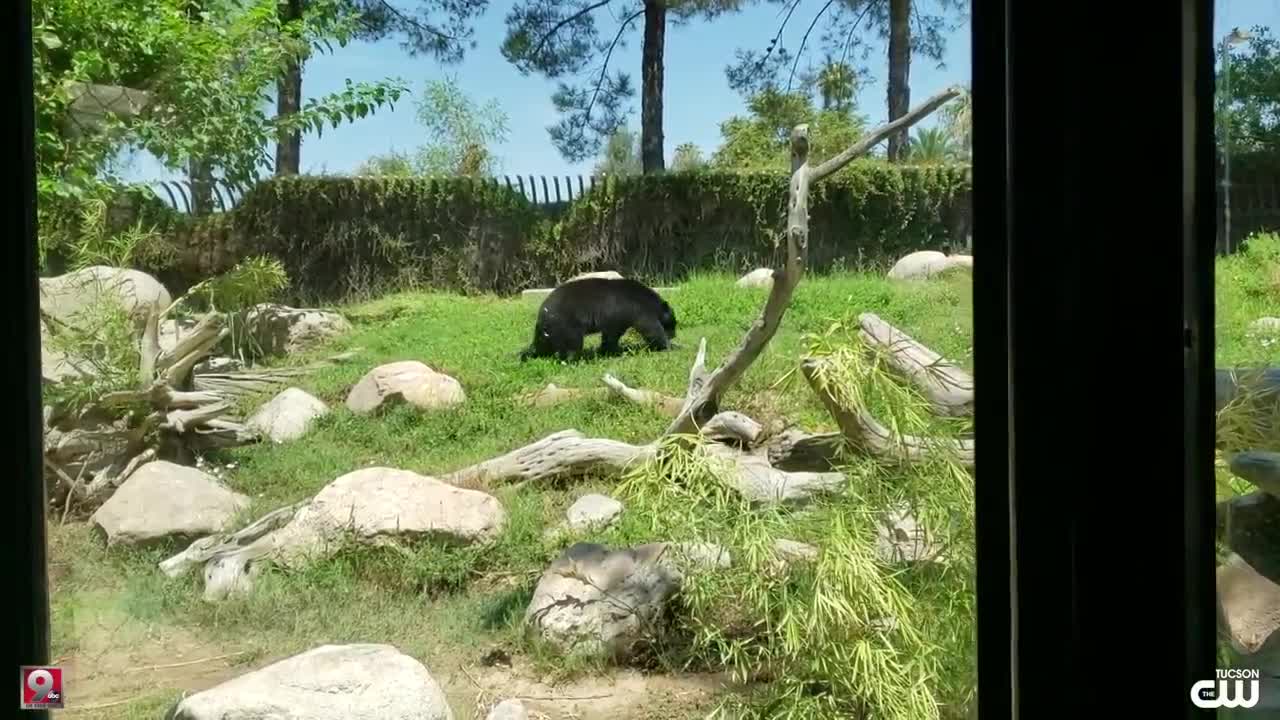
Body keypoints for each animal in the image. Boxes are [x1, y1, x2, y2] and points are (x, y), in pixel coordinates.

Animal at [519, 278, 680, 361]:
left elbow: (612, 333)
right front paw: (671, 345)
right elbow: (651, 328)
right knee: (573, 344)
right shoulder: (636, 309)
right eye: (673, 323)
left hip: (547, 331)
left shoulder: (618, 317)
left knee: (540, 345)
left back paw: (525, 355)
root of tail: (543, 312)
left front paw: (608, 351)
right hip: (567, 323)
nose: (674, 335)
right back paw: (574, 360)